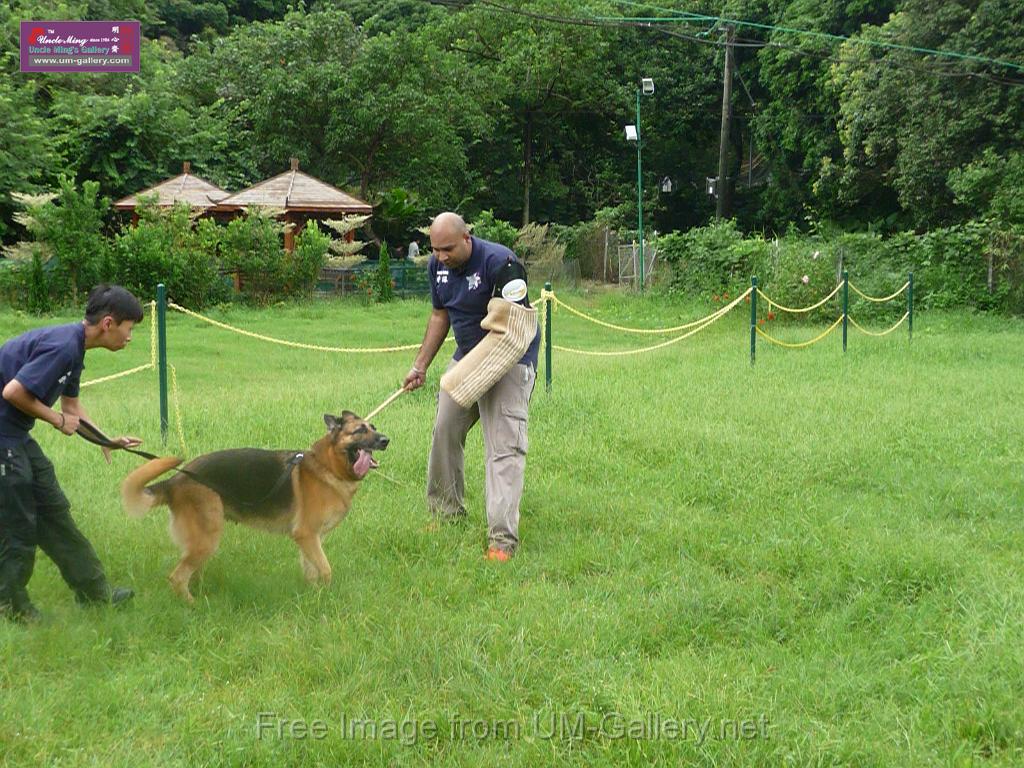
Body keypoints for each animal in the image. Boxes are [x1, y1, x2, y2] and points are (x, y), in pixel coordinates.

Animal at [119, 415, 389, 602]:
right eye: (360, 430)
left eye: (373, 427)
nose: (386, 440)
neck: (328, 466)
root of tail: (176, 480)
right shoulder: (307, 535)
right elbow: (326, 570)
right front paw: (326, 596)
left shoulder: (310, 538)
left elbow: (311, 570)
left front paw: (314, 596)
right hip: (207, 539)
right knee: (177, 577)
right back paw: (193, 606)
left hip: (201, 542)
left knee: (189, 574)